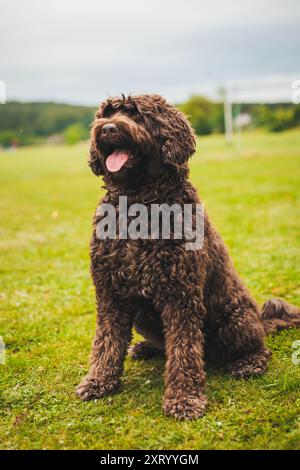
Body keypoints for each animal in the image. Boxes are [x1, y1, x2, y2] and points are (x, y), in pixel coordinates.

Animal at [77, 93, 300, 420]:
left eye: (137, 114)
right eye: (106, 113)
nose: (106, 129)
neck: (138, 204)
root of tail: (260, 318)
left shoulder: (180, 296)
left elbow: (184, 351)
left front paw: (184, 399)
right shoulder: (110, 293)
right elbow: (106, 341)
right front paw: (98, 381)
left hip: (234, 321)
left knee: (255, 347)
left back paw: (249, 363)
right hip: (142, 316)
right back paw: (146, 348)